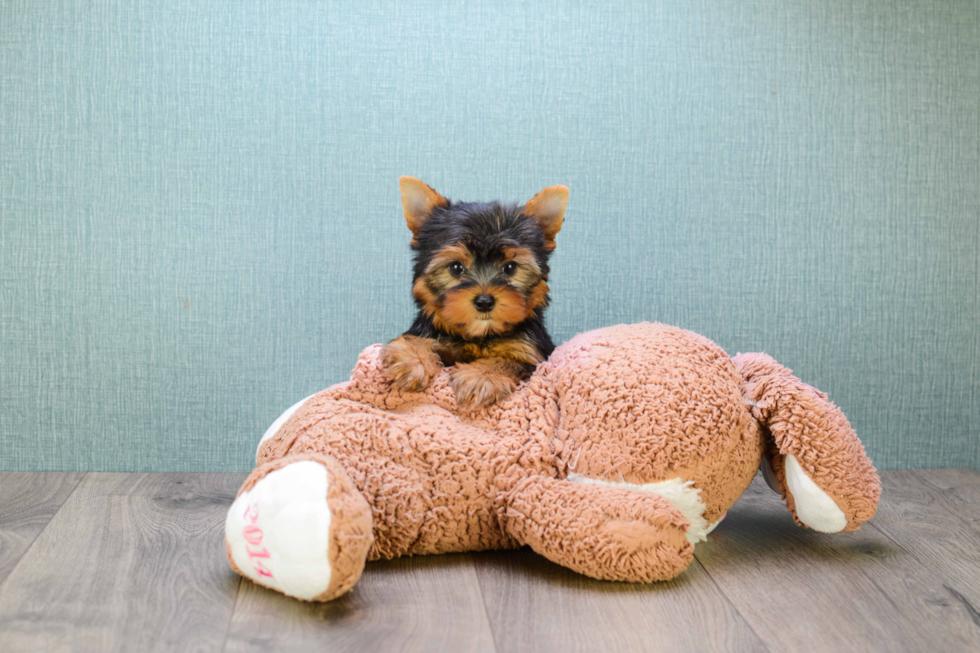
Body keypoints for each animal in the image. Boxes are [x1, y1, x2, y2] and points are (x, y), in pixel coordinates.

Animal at [380, 176, 572, 404]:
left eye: (510, 267)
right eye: (456, 267)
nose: (484, 301)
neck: (480, 336)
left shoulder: (531, 355)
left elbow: (509, 361)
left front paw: (482, 377)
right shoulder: (432, 333)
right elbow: (416, 339)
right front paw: (413, 359)